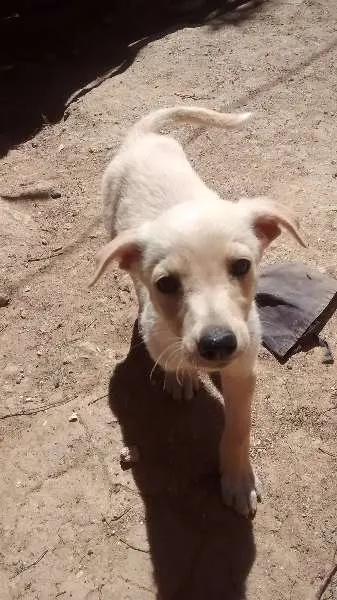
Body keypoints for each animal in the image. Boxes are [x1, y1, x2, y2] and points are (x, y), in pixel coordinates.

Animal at [90, 105, 304, 516]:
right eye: (166, 284)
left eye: (242, 266)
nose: (217, 343)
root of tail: (142, 137)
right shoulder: (161, 334)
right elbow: (173, 360)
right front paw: (180, 376)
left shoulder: (243, 370)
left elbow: (238, 430)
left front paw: (238, 480)